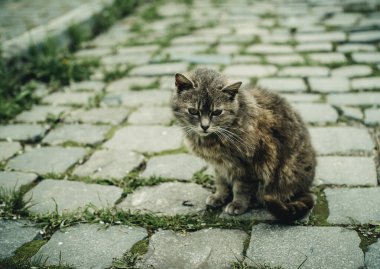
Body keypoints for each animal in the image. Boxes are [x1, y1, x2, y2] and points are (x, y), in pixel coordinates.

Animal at [171, 67, 316, 222]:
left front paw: (237, 204)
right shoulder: (219, 165)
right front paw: (219, 196)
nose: (205, 126)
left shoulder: (249, 165)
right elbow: (221, 182)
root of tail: (304, 188)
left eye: (217, 112)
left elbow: (241, 188)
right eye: (193, 111)